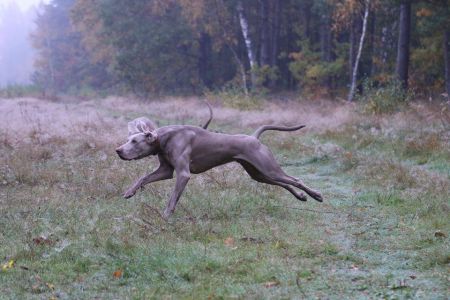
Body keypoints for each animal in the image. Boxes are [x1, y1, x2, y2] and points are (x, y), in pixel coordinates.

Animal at [116, 110, 320, 218]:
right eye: (128, 140)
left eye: (134, 141)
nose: (118, 150)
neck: (164, 138)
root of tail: (254, 137)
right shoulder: (166, 171)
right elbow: (143, 178)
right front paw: (130, 192)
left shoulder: (183, 174)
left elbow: (173, 197)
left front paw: (166, 215)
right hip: (259, 174)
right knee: (284, 183)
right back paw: (301, 196)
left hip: (268, 168)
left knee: (295, 179)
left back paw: (316, 195)